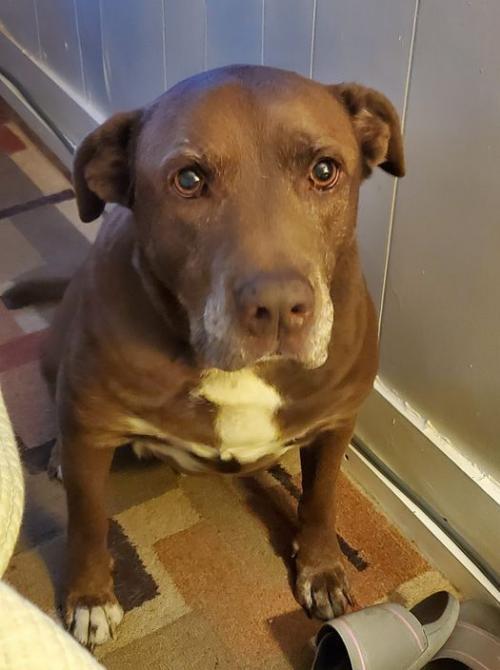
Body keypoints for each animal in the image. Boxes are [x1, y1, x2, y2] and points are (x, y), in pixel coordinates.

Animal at [5, 65, 404, 648]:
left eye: (325, 170)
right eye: (189, 180)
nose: (279, 306)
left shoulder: (336, 424)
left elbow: (320, 498)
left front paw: (322, 568)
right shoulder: (92, 429)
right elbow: (87, 519)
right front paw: (90, 596)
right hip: (58, 359)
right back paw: (56, 451)